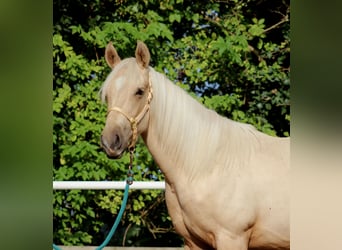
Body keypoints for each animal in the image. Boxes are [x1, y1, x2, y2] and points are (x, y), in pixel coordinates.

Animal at [100, 41, 290, 250]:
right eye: (107, 95)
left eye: (139, 91)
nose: (110, 142)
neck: (205, 166)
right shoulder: (193, 242)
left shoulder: (232, 238)